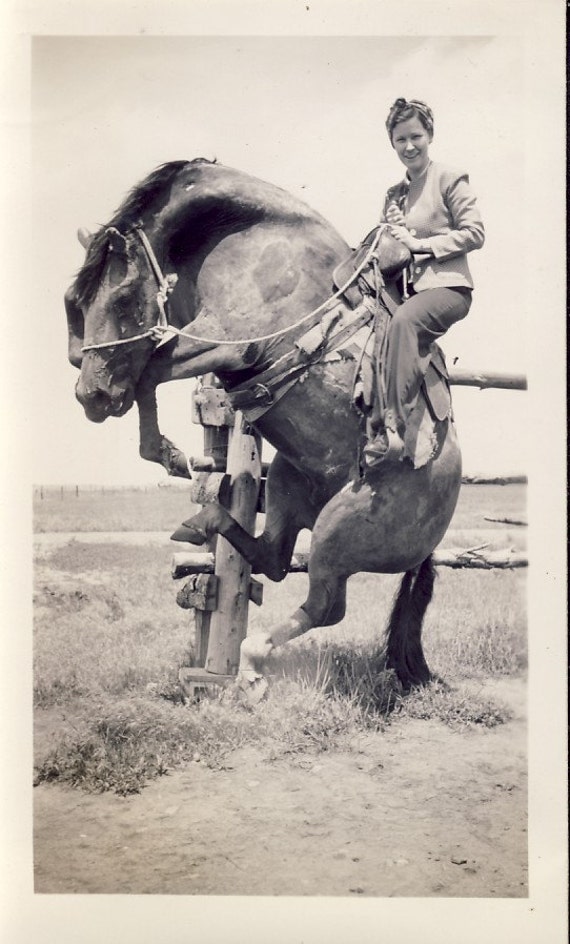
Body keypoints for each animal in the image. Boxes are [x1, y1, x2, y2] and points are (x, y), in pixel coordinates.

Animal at [65, 159, 462, 696]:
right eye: (74, 302)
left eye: (125, 298)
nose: (92, 395)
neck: (248, 233)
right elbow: (150, 368)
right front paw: (169, 454)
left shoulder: (228, 344)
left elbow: (151, 367)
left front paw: (166, 451)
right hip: (289, 485)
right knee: (273, 558)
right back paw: (204, 522)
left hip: (340, 530)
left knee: (325, 605)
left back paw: (252, 660)